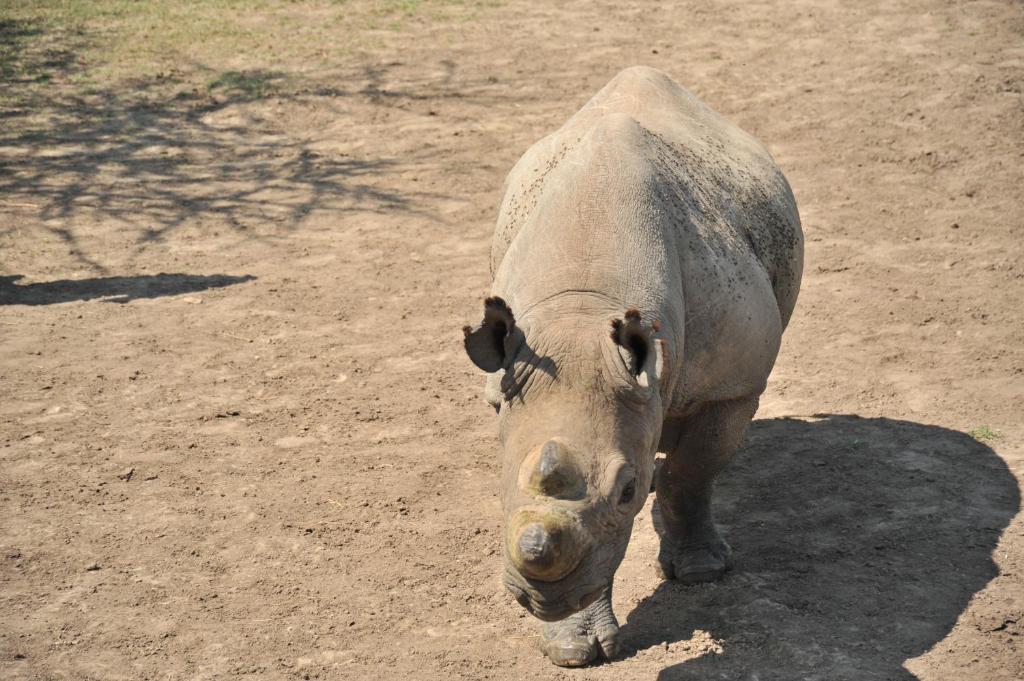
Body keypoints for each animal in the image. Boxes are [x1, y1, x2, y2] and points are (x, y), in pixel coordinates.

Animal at [462, 66, 803, 667]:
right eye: (498, 477)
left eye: (627, 491)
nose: (542, 600)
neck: (583, 306)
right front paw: (573, 648)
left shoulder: (733, 385)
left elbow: (691, 471)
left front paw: (702, 572)